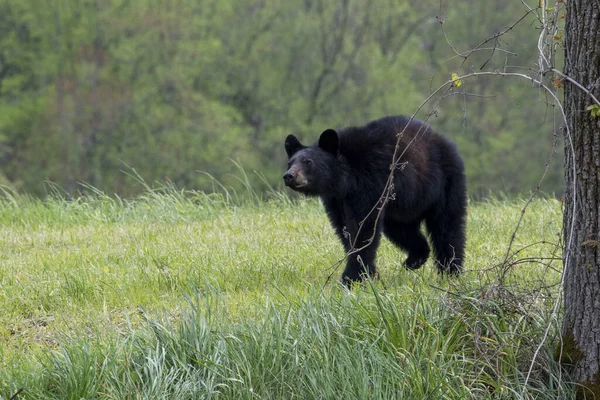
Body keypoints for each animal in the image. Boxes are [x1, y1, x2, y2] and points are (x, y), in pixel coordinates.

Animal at [284, 115, 466, 284]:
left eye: (308, 162)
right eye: (290, 163)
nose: (289, 176)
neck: (346, 179)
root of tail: (446, 142)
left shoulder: (370, 182)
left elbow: (363, 227)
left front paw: (351, 278)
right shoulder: (337, 200)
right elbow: (344, 228)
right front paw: (367, 274)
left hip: (444, 183)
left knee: (447, 227)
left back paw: (450, 271)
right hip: (402, 206)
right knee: (401, 229)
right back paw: (416, 257)